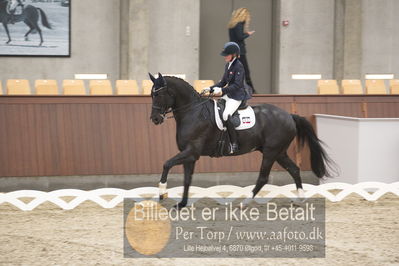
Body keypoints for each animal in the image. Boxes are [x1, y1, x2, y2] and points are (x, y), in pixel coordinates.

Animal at [150, 74, 334, 209]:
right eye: (152, 94)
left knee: (263, 178)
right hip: (279, 152)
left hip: (271, 152)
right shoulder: (190, 155)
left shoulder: (191, 152)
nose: (155, 119)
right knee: (294, 170)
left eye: (158, 94)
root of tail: (289, 115)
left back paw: (244, 203)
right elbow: (187, 179)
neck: (193, 112)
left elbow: (166, 164)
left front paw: (162, 193)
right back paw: (300, 199)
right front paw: (181, 204)